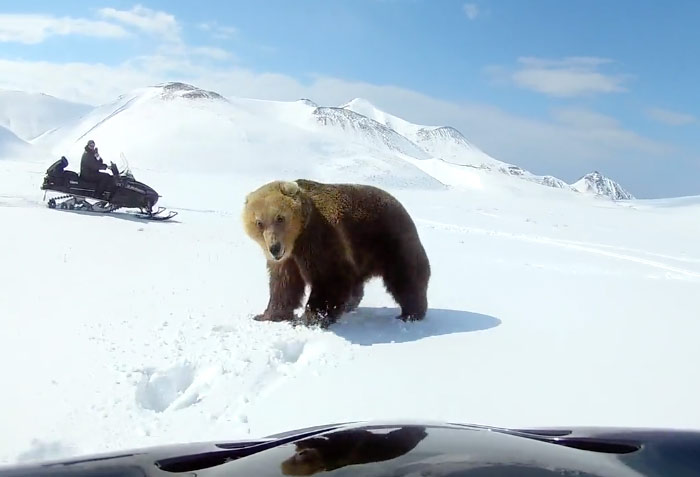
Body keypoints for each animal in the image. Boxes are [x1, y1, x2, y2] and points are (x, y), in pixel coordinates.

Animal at [243, 178, 430, 328]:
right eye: (259, 222)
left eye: (280, 218)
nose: (274, 248)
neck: (296, 239)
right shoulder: (287, 260)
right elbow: (283, 284)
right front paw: (267, 315)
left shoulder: (318, 238)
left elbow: (330, 277)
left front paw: (311, 318)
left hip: (389, 241)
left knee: (406, 277)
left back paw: (410, 313)